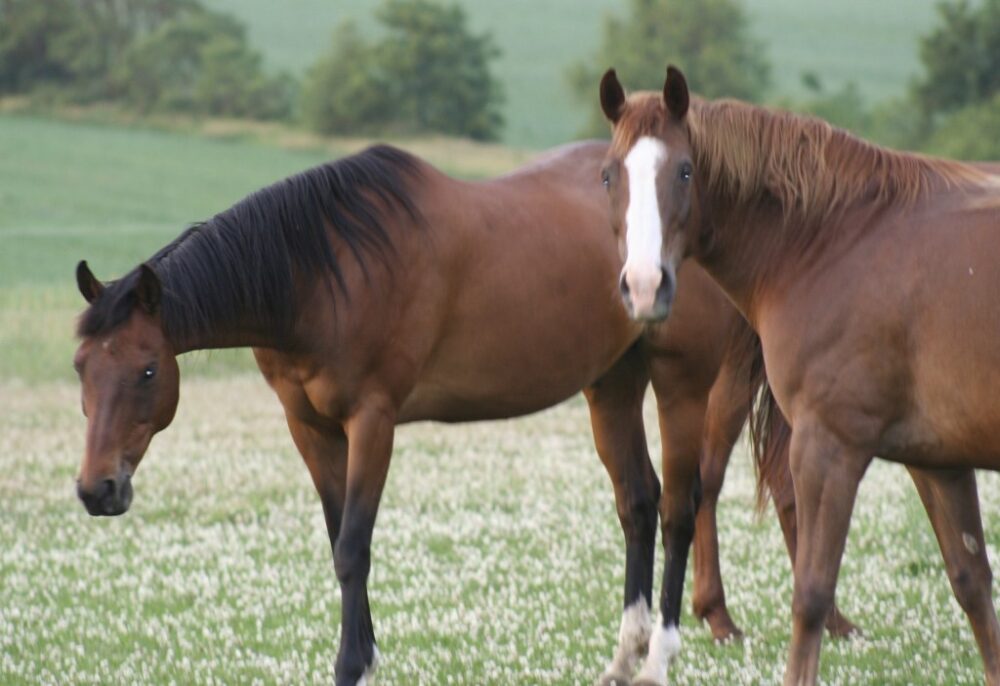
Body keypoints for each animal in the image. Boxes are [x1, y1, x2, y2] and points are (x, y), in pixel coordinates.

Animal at [68, 141, 844, 686]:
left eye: (146, 370)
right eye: (80, 368)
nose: (97, 490)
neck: (321, 273)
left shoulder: (373, 421)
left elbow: (354, 546)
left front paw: (351, 665)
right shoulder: (309, 428)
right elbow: (339, 540)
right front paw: (366, 653)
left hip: (681, 382)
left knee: (683, 506)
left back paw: (662, 655)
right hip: (612, 384)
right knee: (639, 501)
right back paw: (624, 657)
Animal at [596, 66, 1000, 686]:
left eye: (684, 170)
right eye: (609, 174)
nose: (644, 286)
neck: (835, 241)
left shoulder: (828, 447)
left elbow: (810, 593)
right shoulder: (940, 461)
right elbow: (973, 586)